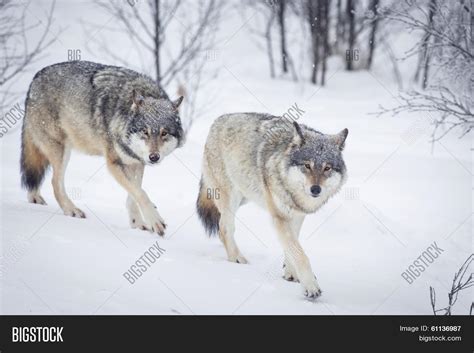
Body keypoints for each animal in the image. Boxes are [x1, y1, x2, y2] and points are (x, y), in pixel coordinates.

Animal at [20, 61, 184, 235]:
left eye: (164, 133)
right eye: (145, 132)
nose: (154, 157)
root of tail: (35, 78)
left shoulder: (136, 163)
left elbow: (134, 194)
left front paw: (137, 223)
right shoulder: (114, 163)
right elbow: (141, 193)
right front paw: (155, 220)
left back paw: (35, 199)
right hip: (61, 151)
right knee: (54, 183)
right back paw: (72, 210)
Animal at [196, 113, 348, 296]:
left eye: (327, 168)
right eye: (307, 165)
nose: (316, 189)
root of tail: (219, 119)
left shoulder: (296, 216)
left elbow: (292, 246)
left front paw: (291, 273)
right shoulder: (279, 217)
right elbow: (300, 253)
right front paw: (311, 286)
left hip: (245, 196)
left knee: (221, 226)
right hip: (231, 197)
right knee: (224, 228)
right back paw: (237, 259)